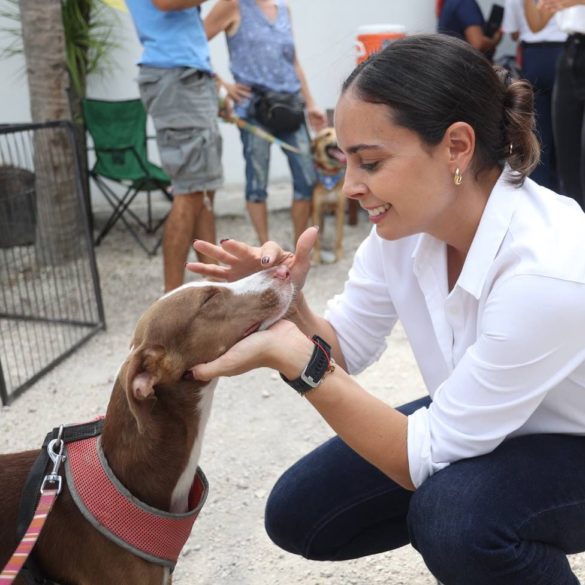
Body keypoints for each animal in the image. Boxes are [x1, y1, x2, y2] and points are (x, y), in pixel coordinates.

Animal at [310, 129, 346, 264]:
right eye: (327, 135)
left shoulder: (340, 210)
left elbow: (339, 236)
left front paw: (339, 256)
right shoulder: (316, 211)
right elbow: (315, 240)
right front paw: (316, 257)